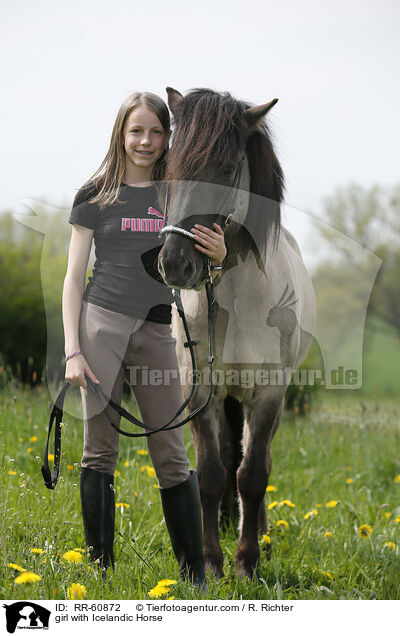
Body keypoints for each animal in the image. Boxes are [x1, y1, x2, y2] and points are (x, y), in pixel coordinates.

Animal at [157, 87, 316, 580]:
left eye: (227, 169)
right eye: (170, 165)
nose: (176, 263)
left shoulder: (268, 394)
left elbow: (254, 472)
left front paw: (248, 562)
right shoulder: (199, 389)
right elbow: (211, 472)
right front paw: (212, 562)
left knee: (254, 460)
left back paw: (257, 532)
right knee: (229, 457)